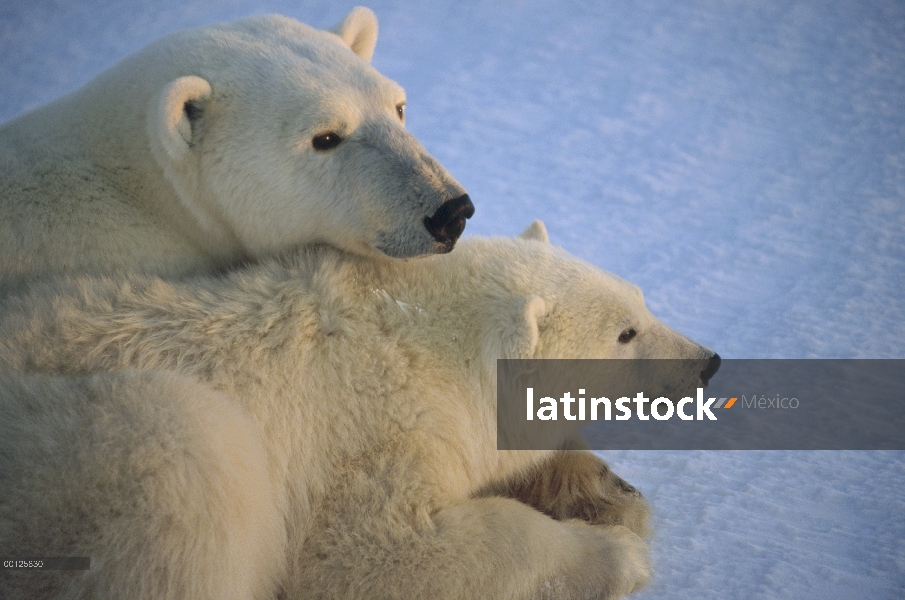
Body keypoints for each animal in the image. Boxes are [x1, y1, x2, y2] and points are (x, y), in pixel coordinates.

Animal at [1, 223, 720, 600]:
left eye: (641, 299)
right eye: (625, 332)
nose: (707, 361)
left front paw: (606, 494)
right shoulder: (361, 438)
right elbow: (374, 552)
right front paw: (619, 555)